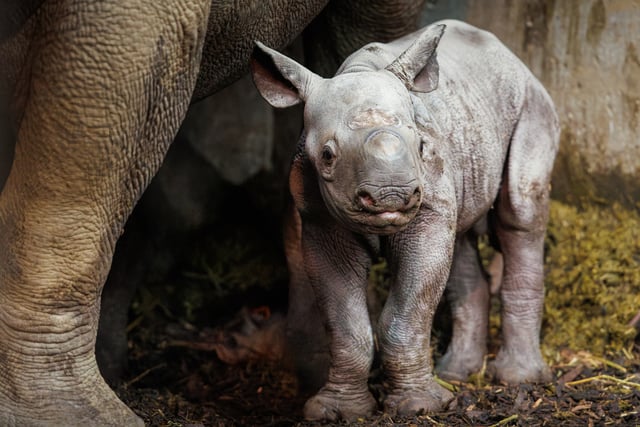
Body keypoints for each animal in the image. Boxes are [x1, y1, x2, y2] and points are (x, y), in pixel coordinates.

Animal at [251, 20, 559, 421]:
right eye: (328, 155)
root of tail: (512, 57)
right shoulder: (319, 220)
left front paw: (419, 406)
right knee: (460, 236)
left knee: (520, 213)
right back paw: (456, 373)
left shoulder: (426, 203)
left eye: (422, 147)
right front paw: (337, 411)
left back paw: (517, 379)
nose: (391, 196)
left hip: (531, 102)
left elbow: (407, 311)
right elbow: (345, 324)